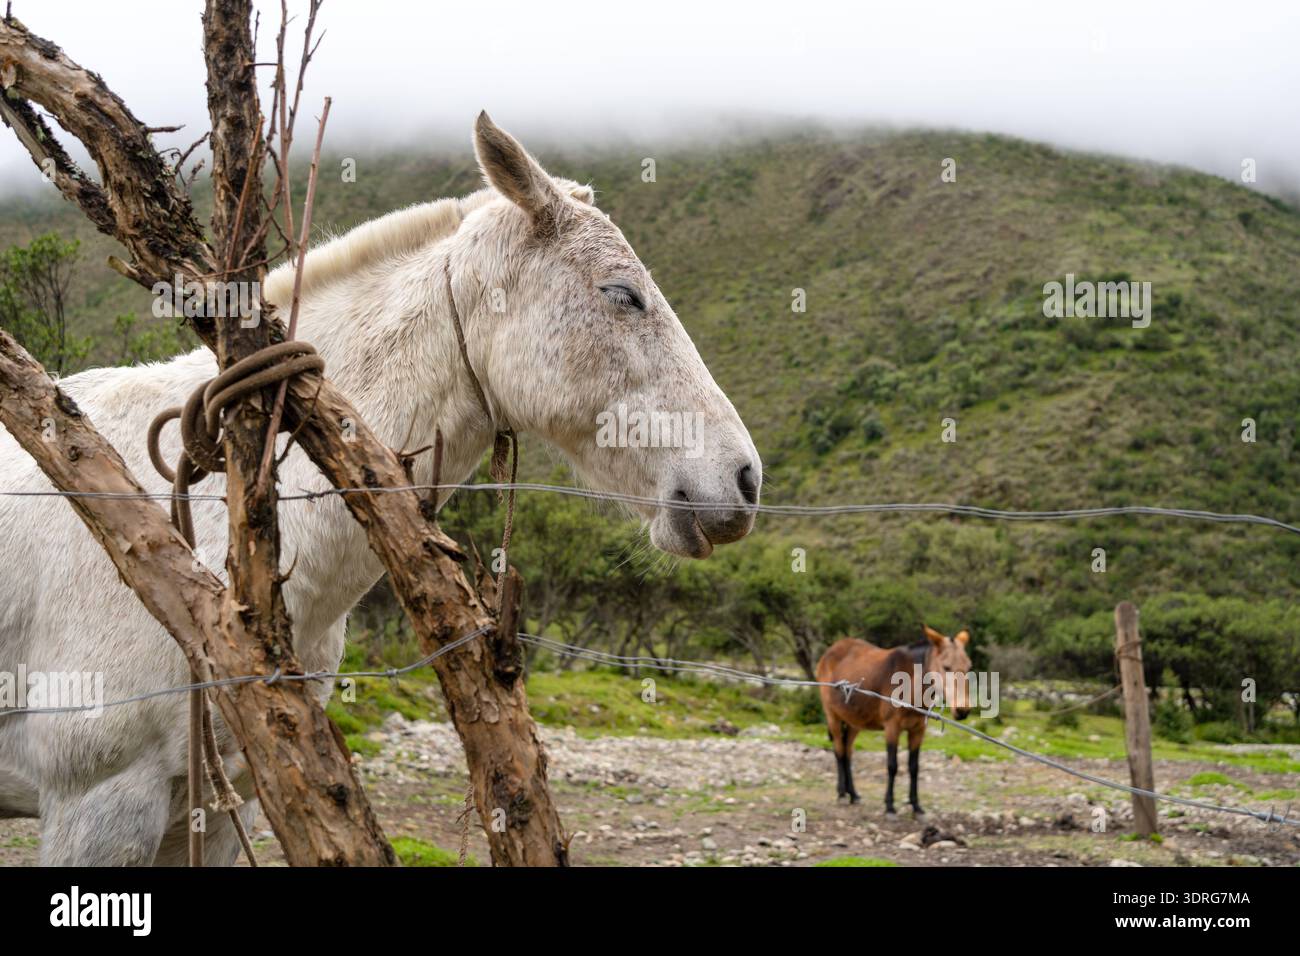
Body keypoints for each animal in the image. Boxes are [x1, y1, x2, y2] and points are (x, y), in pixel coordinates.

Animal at [816, 625, 971, 815]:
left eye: (969, 667)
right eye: (946, 667)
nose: (963, 710)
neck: (910, 686)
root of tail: (830, 651)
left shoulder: (918, 730)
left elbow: (914, 767)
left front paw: (916, 805)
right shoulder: (892, 728)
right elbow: (892, 765)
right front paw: (889, 805)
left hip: (855, 721)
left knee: (847, 752)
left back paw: (853, 794)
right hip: (833, 716)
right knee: (839, 750)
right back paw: (841, 794)